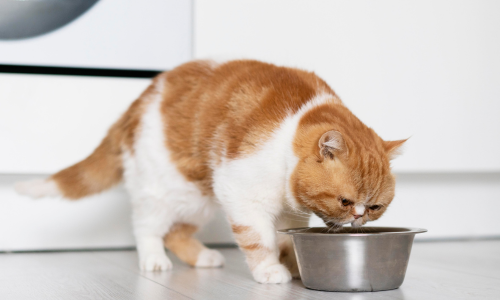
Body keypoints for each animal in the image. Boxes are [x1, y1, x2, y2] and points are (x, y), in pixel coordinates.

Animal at [15, 59, 406, 284]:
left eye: (375, 207)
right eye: (345, 201)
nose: (358, 218)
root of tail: (139, 101)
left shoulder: (288, 212)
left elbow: (282, 238)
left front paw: (292, 263)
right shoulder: (244, 196)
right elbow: (259, 239)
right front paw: (270, 271)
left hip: (200, 198)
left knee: (176, 233)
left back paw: (203, 256)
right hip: (167, 191)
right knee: (147, 227)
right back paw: (154, 260)